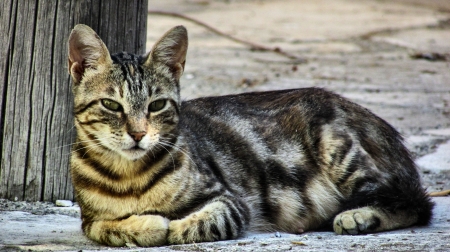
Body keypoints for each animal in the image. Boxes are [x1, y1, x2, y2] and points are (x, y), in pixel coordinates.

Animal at [67, 24, 432, 246]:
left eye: (156, 105)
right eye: (111, 104)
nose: (139, 133)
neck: (128, 177)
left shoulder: (231, 200)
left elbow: (200, 223)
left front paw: (173, 226)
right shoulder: (89, 219)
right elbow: (104, 228)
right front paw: (145, 225)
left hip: (336, 144)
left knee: (415, 202)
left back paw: (359, 215)